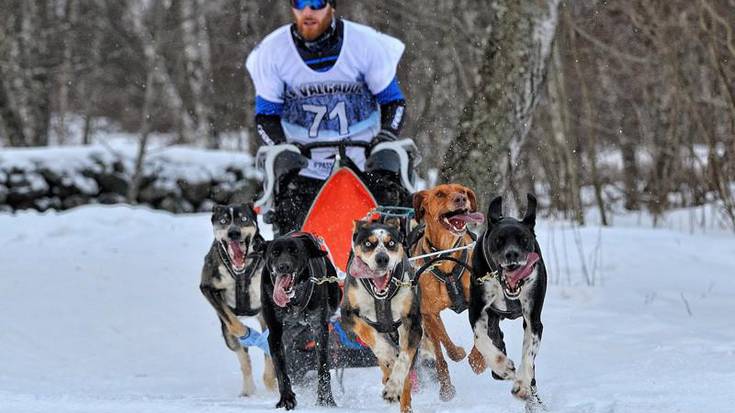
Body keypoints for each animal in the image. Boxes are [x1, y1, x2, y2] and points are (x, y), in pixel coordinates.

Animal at [200, 203, 278, 396]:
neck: (240, 273)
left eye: (243, 219)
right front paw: (247, 334)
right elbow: (235, 326)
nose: (233, 233)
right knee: (243, 358)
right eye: (223, 221)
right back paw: (248, 389)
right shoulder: (208, 289)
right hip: (227, 336)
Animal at [258, 232, 340, 408]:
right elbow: (281, 370)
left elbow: (323, 368)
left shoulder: (320, 329)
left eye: (295, 251)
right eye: (275, 252)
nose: (283, 266)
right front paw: (286, 398)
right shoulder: (275, 333)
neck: (293, 301)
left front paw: (325, 399)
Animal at [412, 183, 486, 400]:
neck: (446, 257)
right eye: (439, 194)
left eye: (462, 191)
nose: (461, 198)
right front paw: (459, 353)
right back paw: (445, 388)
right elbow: (445, 341)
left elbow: (481, 335)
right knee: (438, 354)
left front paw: (478, 360)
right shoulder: (429, 313)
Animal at [468, 195, 548, 404]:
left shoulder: (533, 319)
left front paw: (522, 384)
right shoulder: (476, 312)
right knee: (494, 336)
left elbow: (528, 353)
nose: (512, 254)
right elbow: (481, 340)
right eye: (499, 240)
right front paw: (502, 366)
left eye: (524, 239)